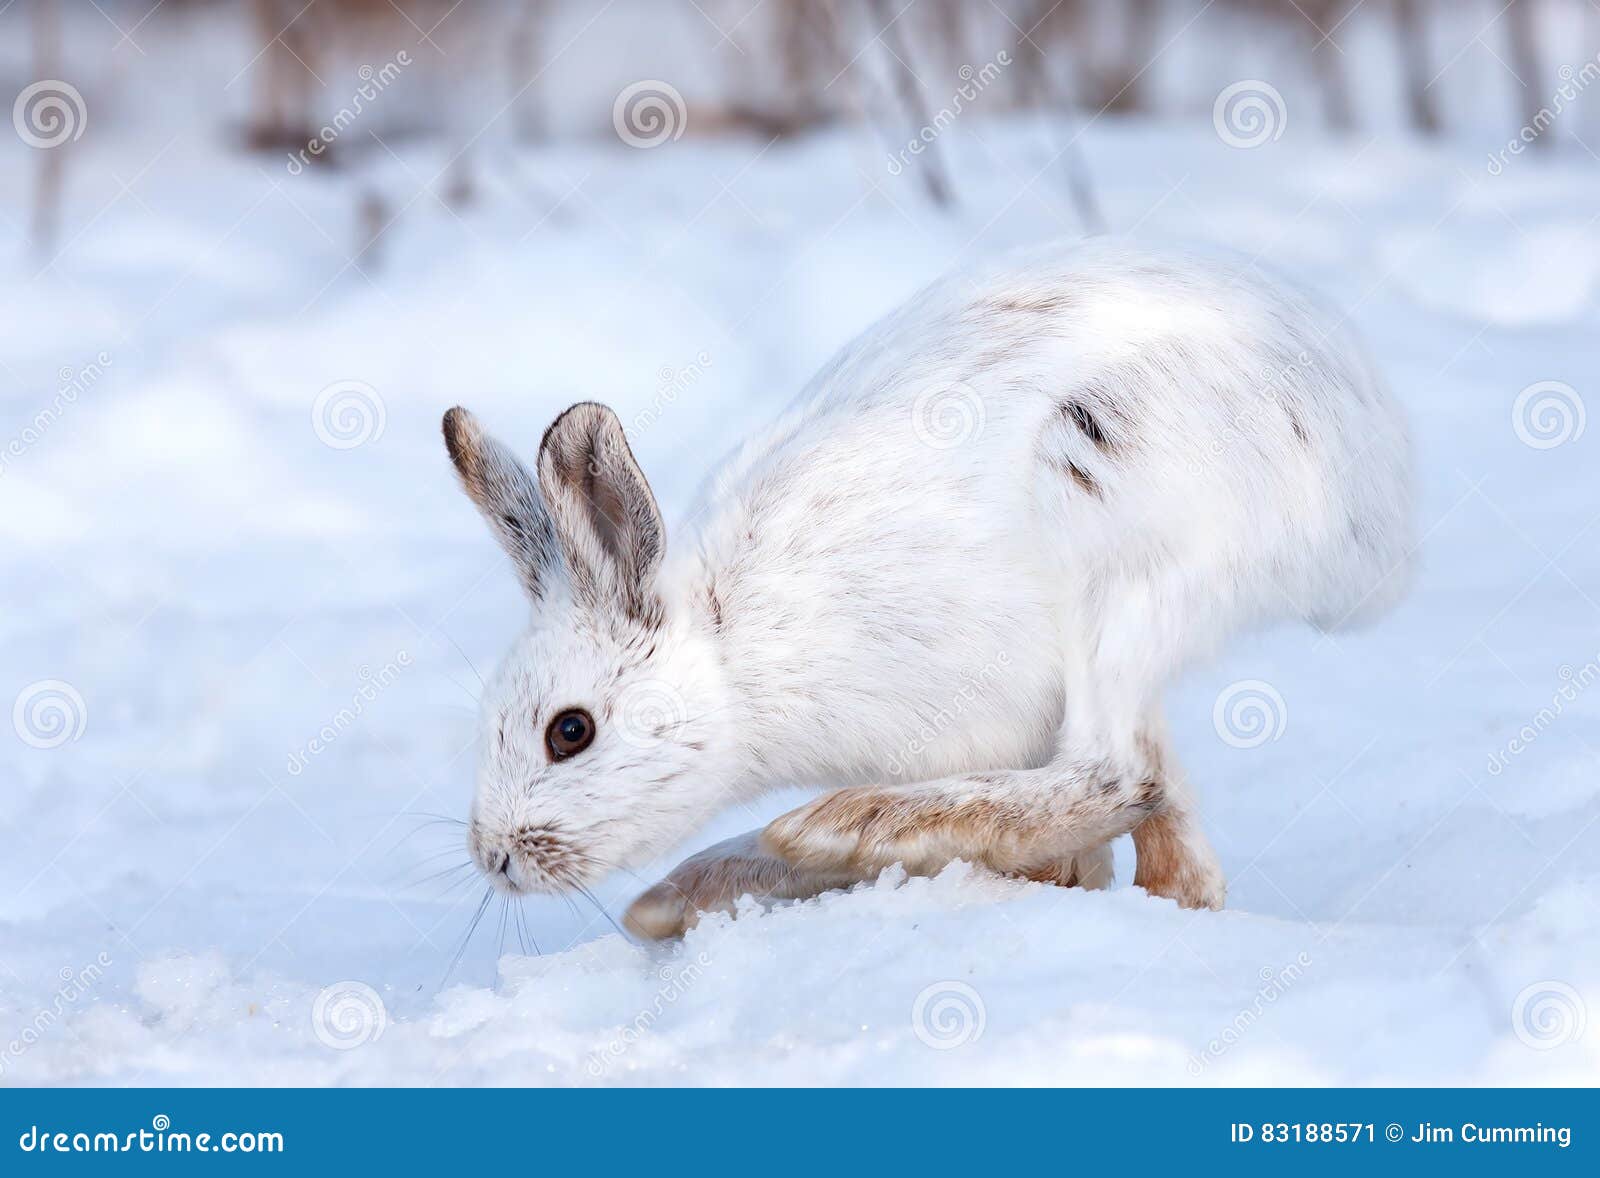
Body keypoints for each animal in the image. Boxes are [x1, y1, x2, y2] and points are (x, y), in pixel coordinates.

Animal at [441, 236, 1414, 940]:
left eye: (570, 732)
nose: (495, 858)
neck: (729, 656)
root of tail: (1376, 498)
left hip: (1112, 536)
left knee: (1116, 771)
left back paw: (827, 828)